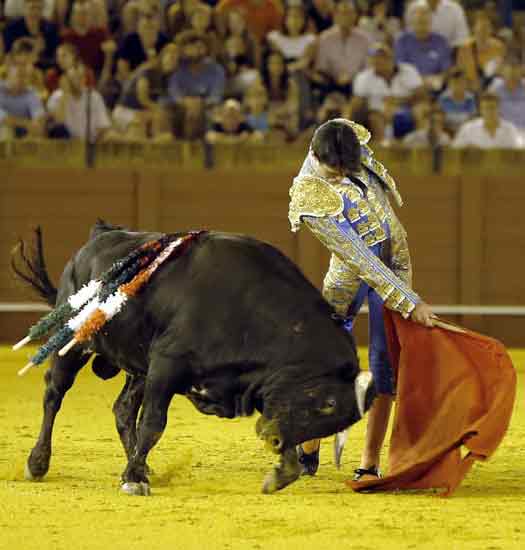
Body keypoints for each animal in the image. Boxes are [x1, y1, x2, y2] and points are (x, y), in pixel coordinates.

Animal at [11, 222, 372, 498]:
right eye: (327, 404)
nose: (275, 442)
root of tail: (99, 237)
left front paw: (280, 474)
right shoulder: (166, 364)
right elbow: (153, 423)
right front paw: (134, 482)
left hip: (137, 367)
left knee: (123, 410)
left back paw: (140, 466)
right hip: (74, 344)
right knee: (54, 394)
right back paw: (38, 463)